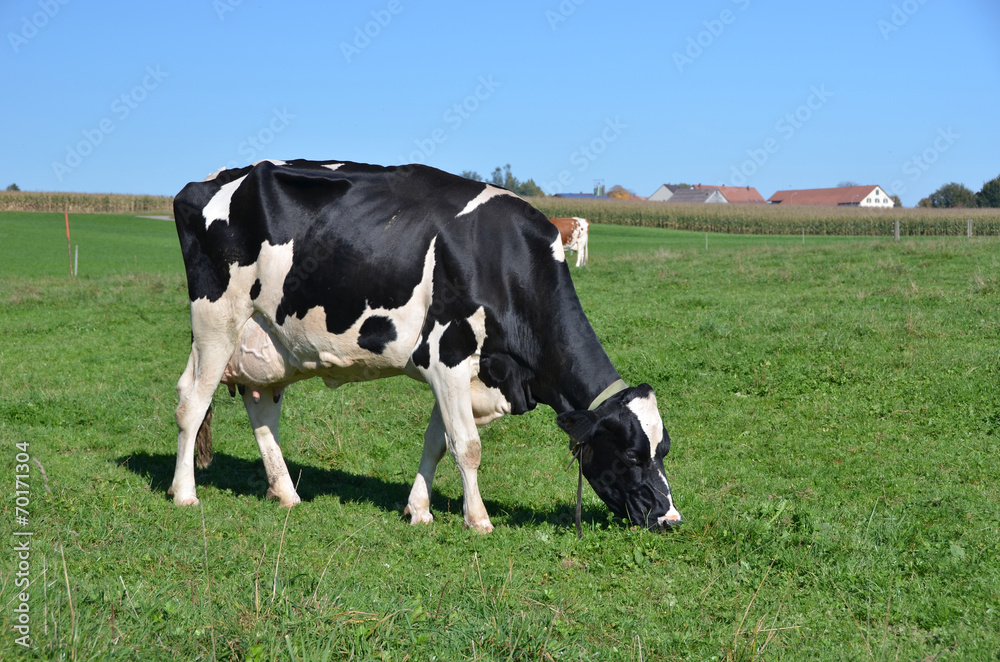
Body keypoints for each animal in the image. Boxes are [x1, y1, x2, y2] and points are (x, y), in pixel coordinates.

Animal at [168, 161, 680, 536]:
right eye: (631, 455)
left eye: (664, 450)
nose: (670, 518)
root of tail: (214, 177)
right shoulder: (447, 354)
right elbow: (467, 446)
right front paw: (479, 520)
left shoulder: (457, 372)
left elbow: (437, 442)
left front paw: (419, 510)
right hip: (216, 320)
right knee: (191, 401)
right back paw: (184, 493)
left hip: (268, 340)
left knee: (261, 409)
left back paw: (286, 493)